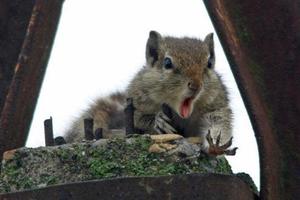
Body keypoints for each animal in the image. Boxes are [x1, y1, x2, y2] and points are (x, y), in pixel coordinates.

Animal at [65, 30, 237, 155]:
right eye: (167, 62)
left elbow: (219, 123)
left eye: (209, 63)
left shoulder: (216, 106)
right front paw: (158, 120)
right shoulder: (136, 103)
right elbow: (139, 120)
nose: (196, 85)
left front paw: (215, 145)